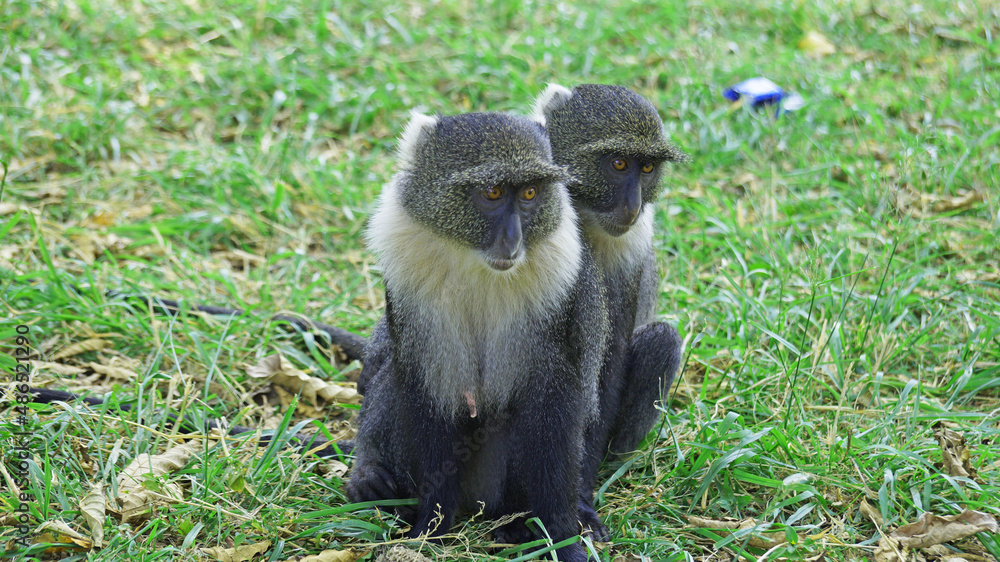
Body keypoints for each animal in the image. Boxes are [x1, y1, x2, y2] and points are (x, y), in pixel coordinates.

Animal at [345, 110, 608, 562]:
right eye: (493, 192)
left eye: (531, 192)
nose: (513, 239)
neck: (475, 263)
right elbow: (428, 399)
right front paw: (430, 529)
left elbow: (553, 413)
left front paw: (564, 541)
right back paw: (371, 481)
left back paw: (518, 525)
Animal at [531, 84, 688, 540]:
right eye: (618, 164)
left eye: (648, 167)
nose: (633, 206)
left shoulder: (629, 252)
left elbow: (610, 364)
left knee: (661, 340)